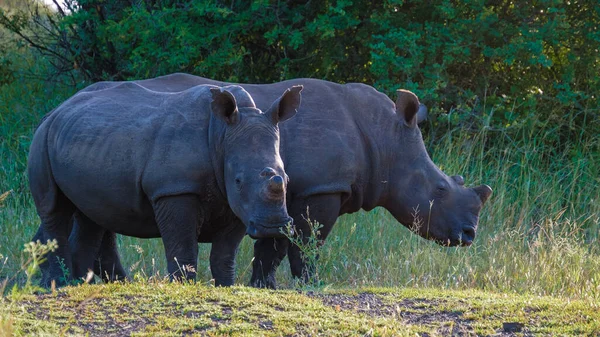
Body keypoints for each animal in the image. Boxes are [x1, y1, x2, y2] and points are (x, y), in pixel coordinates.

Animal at [28, 79, 300, 286]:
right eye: (239, 180)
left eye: (286, 178)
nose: (274, 226)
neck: (222, 135)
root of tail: (55, 110)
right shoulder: (175, 189)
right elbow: (183, 248)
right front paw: (184, 285)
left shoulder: (236, 203)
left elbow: (224, 255)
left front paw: (225, 286)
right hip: (41, 139)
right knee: (54, 209)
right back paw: (60, 284)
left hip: (86, 141)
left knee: (91, 216)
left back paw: (79, 284)